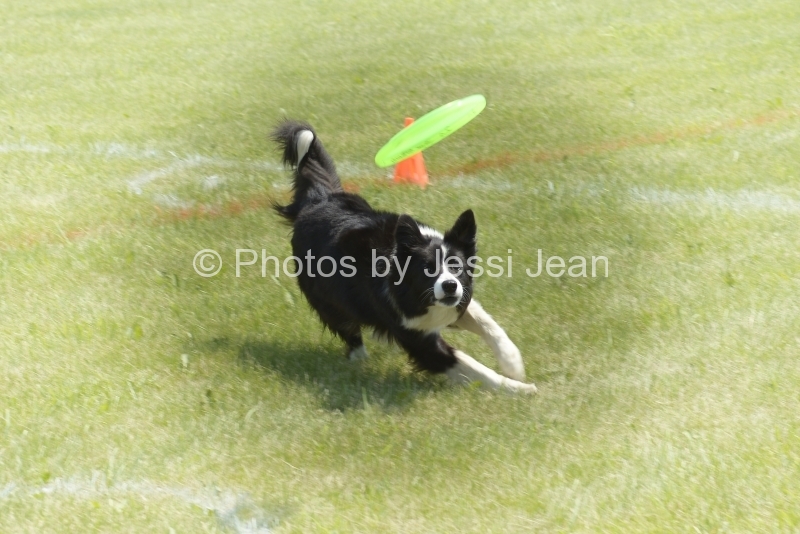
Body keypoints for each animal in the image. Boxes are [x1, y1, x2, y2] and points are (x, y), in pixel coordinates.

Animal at [272, 120, 537, 394]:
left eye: (456, 267)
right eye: (427, 268)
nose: (449, 285)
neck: (408, 288)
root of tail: (318, 200)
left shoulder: (453, 300)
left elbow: (488, 323)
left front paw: (512, 362)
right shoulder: (417, 338)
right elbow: (471, 365)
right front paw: (519, 389)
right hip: (327, 297)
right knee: (346, 326)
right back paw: (359, 360)